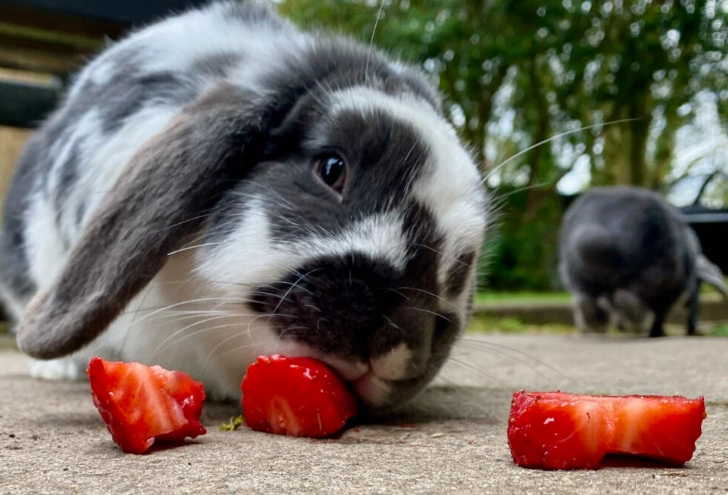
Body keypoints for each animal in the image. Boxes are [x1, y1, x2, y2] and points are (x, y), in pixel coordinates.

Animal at [558, 185, 727, 338]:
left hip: (574, 272)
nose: (693, 331)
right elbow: (661, 312)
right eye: (699, 284)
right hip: (660, 270)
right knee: (630, 297)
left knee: (588, 298)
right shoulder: (673, 291)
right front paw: (658, 333)